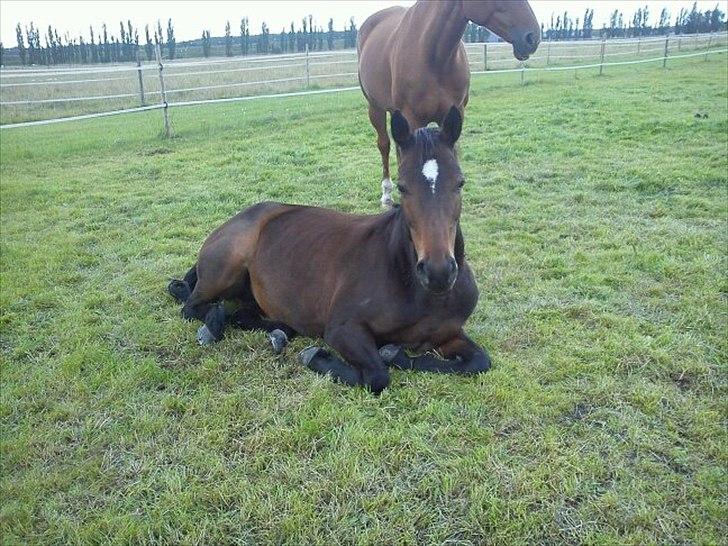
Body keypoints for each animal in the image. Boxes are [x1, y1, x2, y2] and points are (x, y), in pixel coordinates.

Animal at [167, 106, 490, 394]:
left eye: (460, 182)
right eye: (402, 186)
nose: (438, 273)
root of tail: (238, 218)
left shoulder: (449, 334)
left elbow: (480, 362)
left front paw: (396, 353)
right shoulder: (342, 328)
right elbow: (377, 376)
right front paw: (318, 356)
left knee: (245, 314)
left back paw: (279, 331)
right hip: (225, 269)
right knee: (192, 306)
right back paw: (214, 325)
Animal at [358, 0, 540, 207]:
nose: (533, 37)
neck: (433, 55)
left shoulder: (454, 114)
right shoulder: (413, 118)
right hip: (375, 108)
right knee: (384, 145)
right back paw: (387, 195)